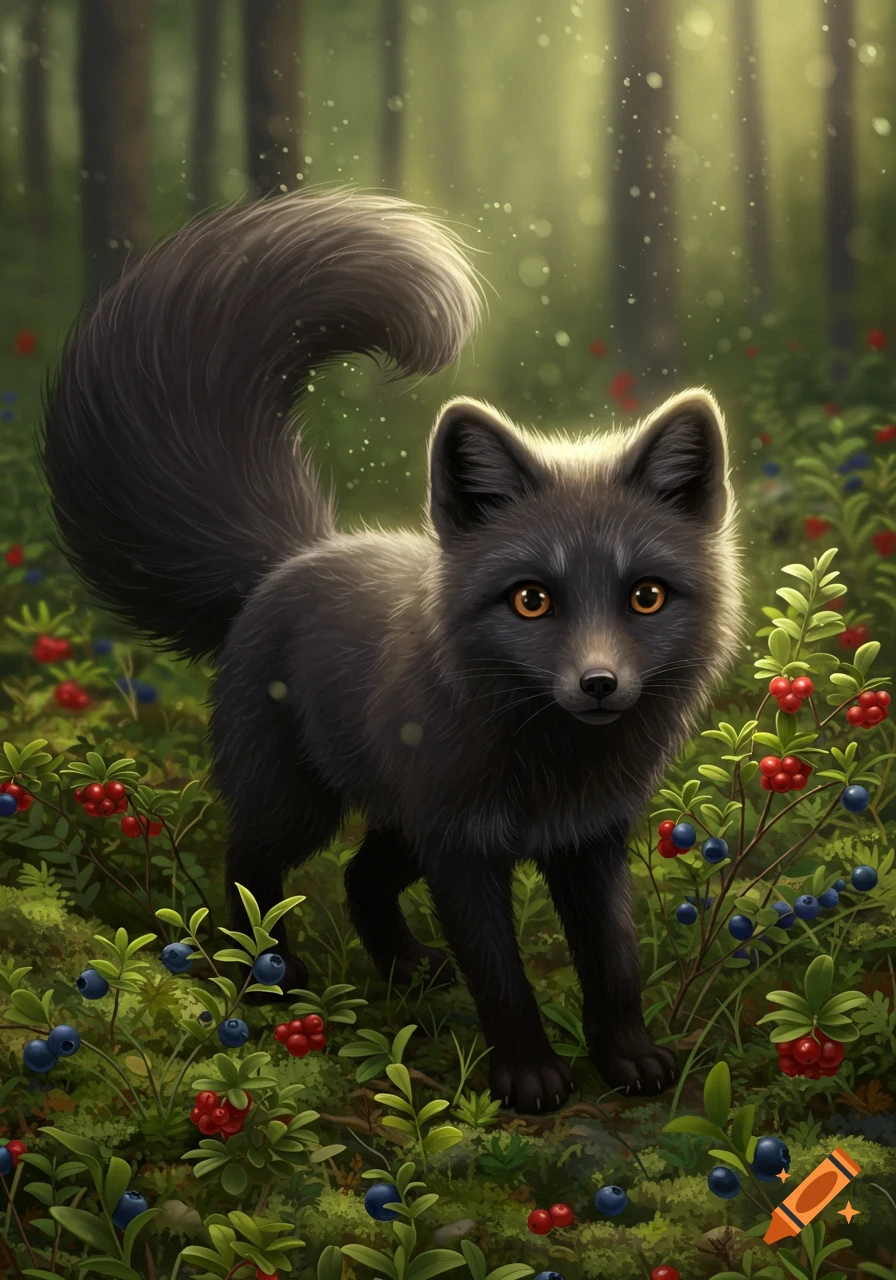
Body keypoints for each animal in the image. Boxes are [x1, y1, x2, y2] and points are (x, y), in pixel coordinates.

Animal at [41, 191, 742, 1115]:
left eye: (646, 596)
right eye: (532, 599)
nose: (598, 683)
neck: (549, 771)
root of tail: (294, 555)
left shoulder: (586, 843)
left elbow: (614, 965)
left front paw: (628, 1059)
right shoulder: (463, 848)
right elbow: (502, 977)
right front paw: (527, 1077)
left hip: (399, 825)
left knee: (358, 878)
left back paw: (406, 970)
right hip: (301, 807)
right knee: (249, 870)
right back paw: (266, 979)